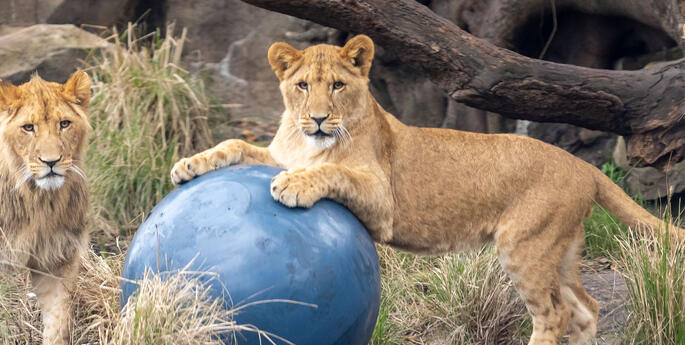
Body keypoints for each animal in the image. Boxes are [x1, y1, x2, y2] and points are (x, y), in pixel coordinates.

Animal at [0, 72, 91, 344]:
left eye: (64, 124)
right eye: (28, 127)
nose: (51, 162)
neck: (36, 200)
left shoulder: (57, 256)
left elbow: (57, 320)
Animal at [168, 35, 680, 344]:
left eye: (337, 86)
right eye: (302, 85)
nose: (317, 118)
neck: (306, 142)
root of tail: (581, 164)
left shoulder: (381, 199)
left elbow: (334, 173)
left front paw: (295, 185)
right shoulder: (277, 152)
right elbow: (235, 143)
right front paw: (189, 164)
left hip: (525, 247)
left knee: (552, 315)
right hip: (563, 249)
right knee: (585, 308)